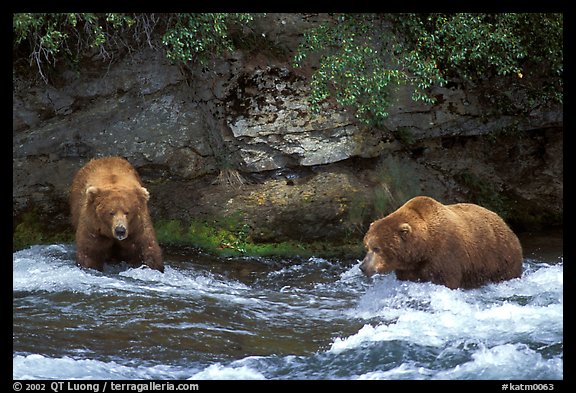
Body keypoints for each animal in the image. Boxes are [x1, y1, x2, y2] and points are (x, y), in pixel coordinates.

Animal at [362, 196, 524, 288]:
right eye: (367, 246)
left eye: (377, 248)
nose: (362, 267)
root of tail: (505, 224)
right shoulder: (410, 268)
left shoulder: (446, 255)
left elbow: (447, 280)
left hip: (500, 256)